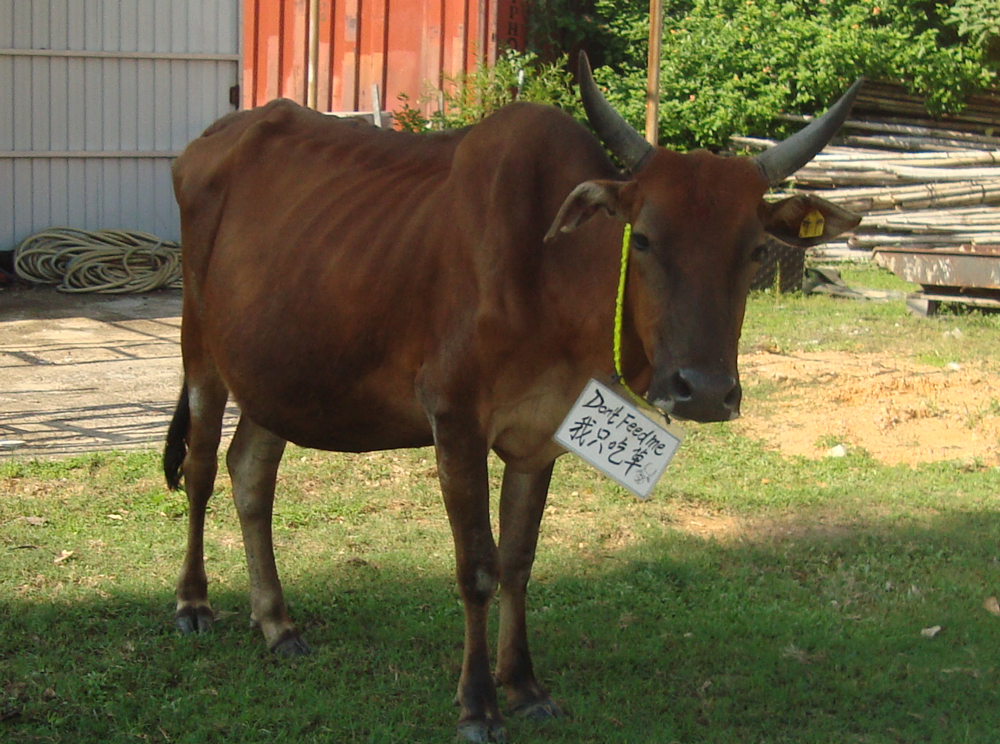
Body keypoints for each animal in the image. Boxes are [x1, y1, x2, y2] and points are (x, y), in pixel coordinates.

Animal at [162, 55, 860, 740]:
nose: (705, 391)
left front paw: (523, 686)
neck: (550, 274)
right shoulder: (454, 418)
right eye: (644, 238)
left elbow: (518, 561)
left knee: (251, 471)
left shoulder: (545, 432)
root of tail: (209, 141)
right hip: (200, 349)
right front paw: (477, 704)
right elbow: (477, 567)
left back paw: (277, 624)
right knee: (201, 468)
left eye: (757, 249)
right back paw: (193, 602)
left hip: (279, 375)